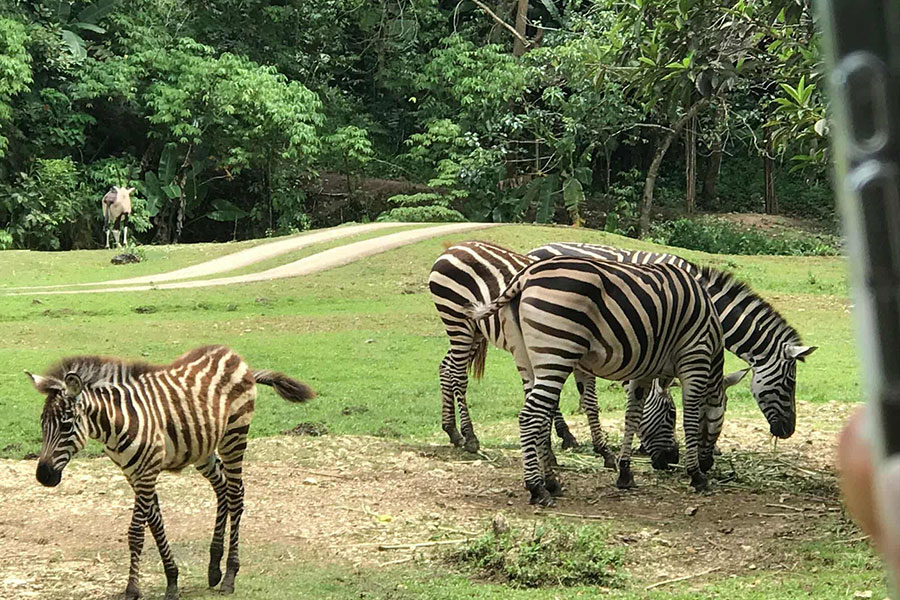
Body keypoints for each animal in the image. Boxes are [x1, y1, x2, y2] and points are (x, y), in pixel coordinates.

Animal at [27, 345, 315, 600]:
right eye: (42, 424)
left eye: (66, 426)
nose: (43, 476)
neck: (117, 423)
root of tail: (233, 355)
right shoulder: (134, 474)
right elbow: (156, 525)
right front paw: (172, 580)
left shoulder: (146, 472)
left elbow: (136, 532)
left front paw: (132, 590)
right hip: (203, 448)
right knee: (222, 488)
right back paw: (214, 568)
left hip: (234, 436)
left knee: (236, 494)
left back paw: (230, 575)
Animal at [429, 241, 678, 469]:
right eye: (671, 415)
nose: (672, 458)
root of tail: (453, 248)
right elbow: (583, 401)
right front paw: (593, 449)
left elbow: (574, 401)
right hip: (458, 321)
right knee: (458, 375)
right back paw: (470, 437)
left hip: (474, 331)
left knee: (445, 367)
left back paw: (452, 431)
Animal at [466, 256, 749, 506]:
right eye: (670, 414)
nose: (671, 459)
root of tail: (524, 276)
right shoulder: (694, 358)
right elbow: (690, 419)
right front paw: (696, 476)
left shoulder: (644, 371)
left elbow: (632, 416)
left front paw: (624, 472)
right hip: (557, 352)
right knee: (530, 416)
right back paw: (537, 489)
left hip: (526, 358)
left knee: (541, 417)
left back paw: (552, 482)